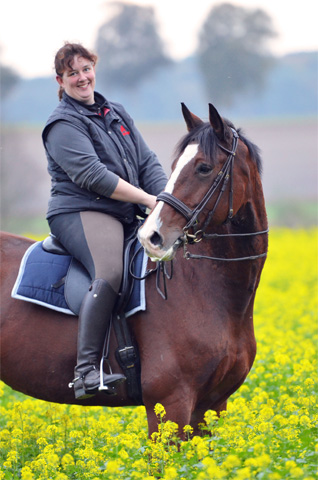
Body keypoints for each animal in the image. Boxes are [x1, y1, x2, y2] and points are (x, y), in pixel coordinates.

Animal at [0, 103, 268, 436]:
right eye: (177, 165)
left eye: (204, 168)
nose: (152, 236)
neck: (209, 290)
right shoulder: (169, 404)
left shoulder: (212, 406)